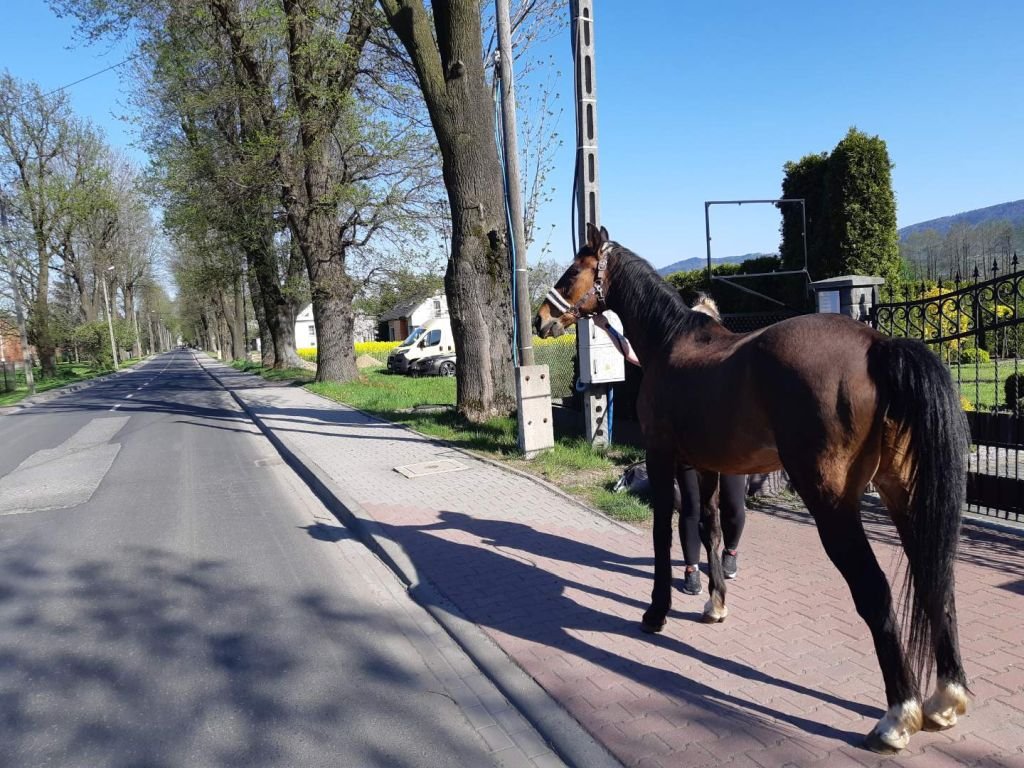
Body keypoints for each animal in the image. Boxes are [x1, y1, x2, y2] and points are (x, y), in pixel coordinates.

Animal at [536, 225, 966, 753]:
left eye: (573, 271)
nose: (540, 318)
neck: (669, 343)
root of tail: (877, 347)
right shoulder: (707, 467)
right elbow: (711, 529)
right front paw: (715, 603)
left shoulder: (663, 459)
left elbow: (662, 534)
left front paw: (656, 612)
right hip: (902, 493)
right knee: (935, 578)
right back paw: (945, 699)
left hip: (833, 505)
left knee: (875, 590)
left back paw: (898, 716)